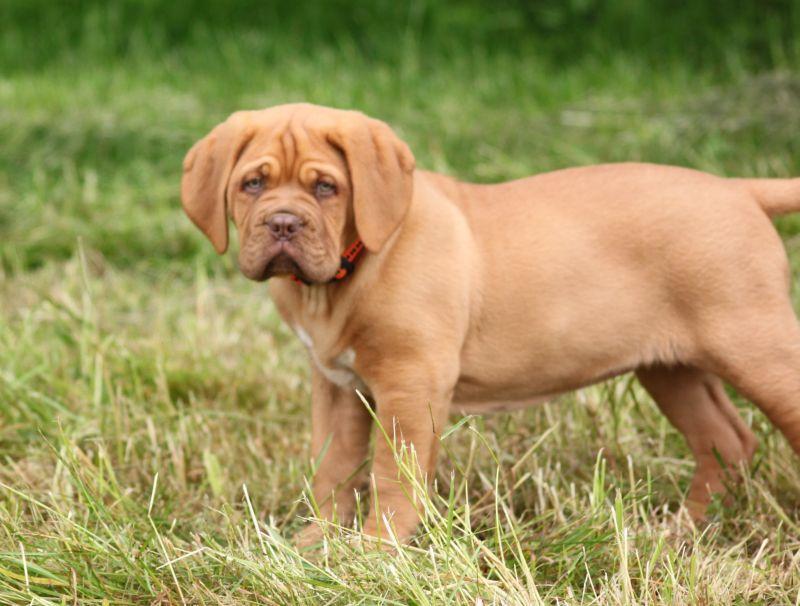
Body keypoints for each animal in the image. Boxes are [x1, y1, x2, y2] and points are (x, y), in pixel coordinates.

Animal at [184, 103, 800, 548]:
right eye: (252, 184)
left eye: (326, 188)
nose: (284, 224)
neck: (342, 276)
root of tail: (738, 189)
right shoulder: (338, 386)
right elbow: (332, 469)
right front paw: (315, 546)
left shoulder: (410, 384)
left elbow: (392, 474)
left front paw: (377, 550)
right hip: (670, 367)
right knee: (725, 440)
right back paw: (680, 531)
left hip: (756, 348)